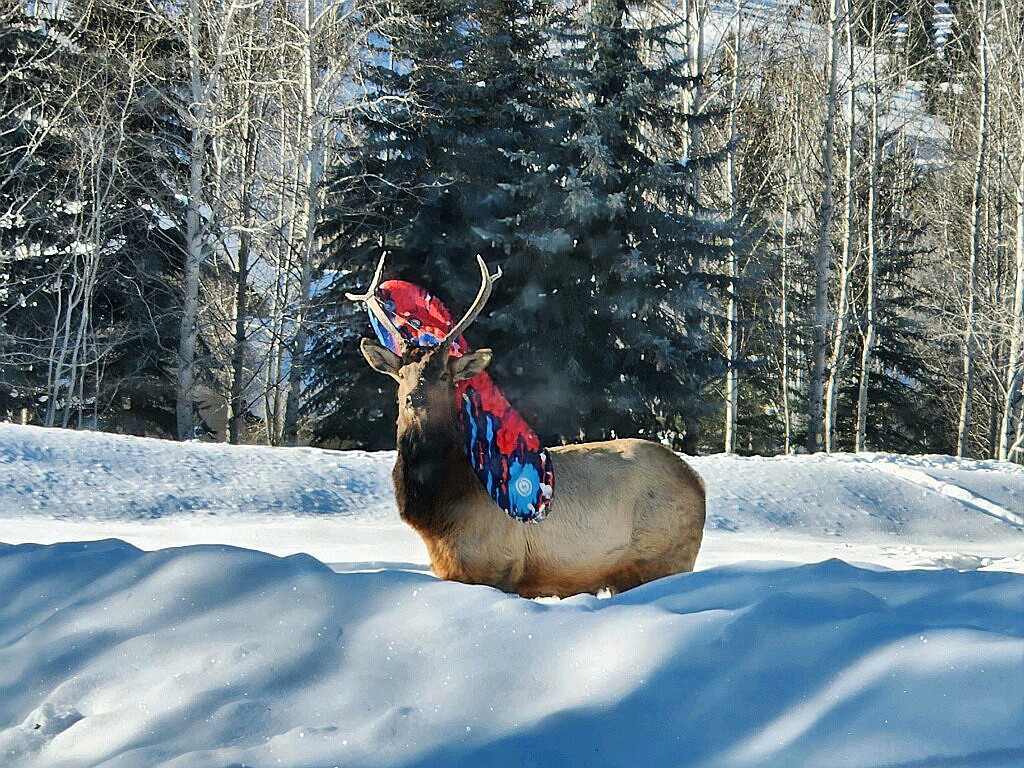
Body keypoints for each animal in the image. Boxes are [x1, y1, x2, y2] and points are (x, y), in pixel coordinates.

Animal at [350, 256, 704, 598]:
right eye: (400, 374)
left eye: (443, 375)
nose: (415, 399)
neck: (437, 513)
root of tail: (698, 484)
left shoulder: (497, 565)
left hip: (663, 559)